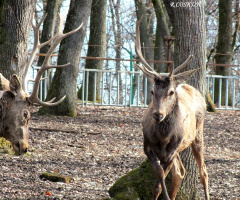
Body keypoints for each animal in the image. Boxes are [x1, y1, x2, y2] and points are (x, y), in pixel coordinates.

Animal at [134, 19, 209, 200]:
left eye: (171, 92)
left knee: (203, 171)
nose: (158, 114)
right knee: (180, 172)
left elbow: (159, 182)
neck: (163, 138)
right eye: (152, 91)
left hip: (197, 134)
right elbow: (160, 178)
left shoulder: (171, 151)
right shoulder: (148, 148)